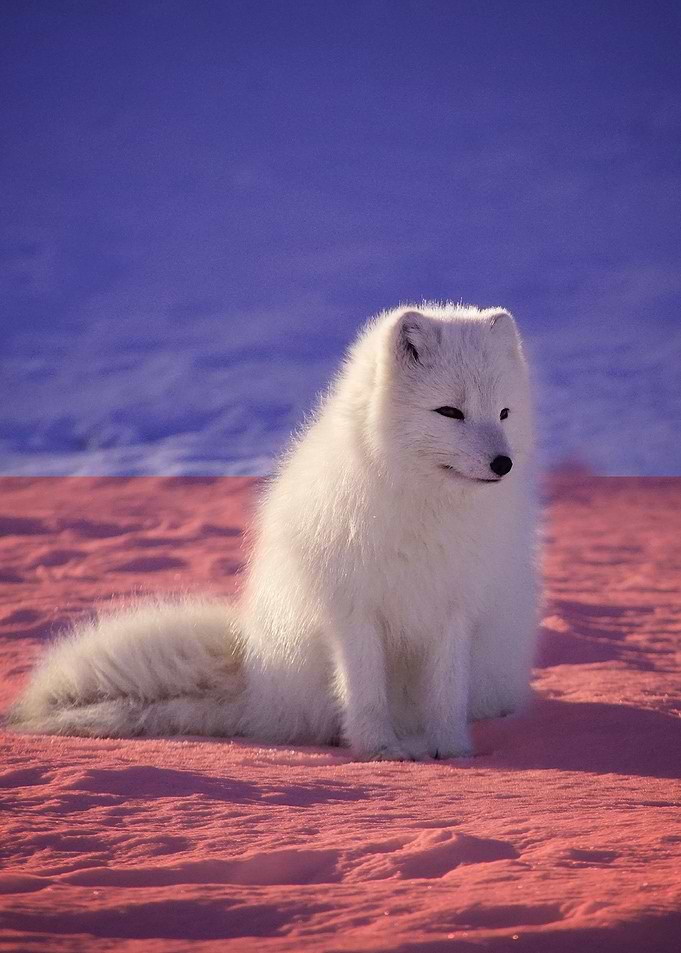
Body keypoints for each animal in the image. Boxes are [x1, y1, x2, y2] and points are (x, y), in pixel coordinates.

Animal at [9, 303, 539, 761]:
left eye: (504, 413)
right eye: (449, 412)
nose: (503, 464)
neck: (426, 509)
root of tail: (257, 683)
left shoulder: (454, 610)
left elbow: (446, 694)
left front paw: (451, 751)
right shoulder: (353, 610)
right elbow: (365, 692)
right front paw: (380, 750)